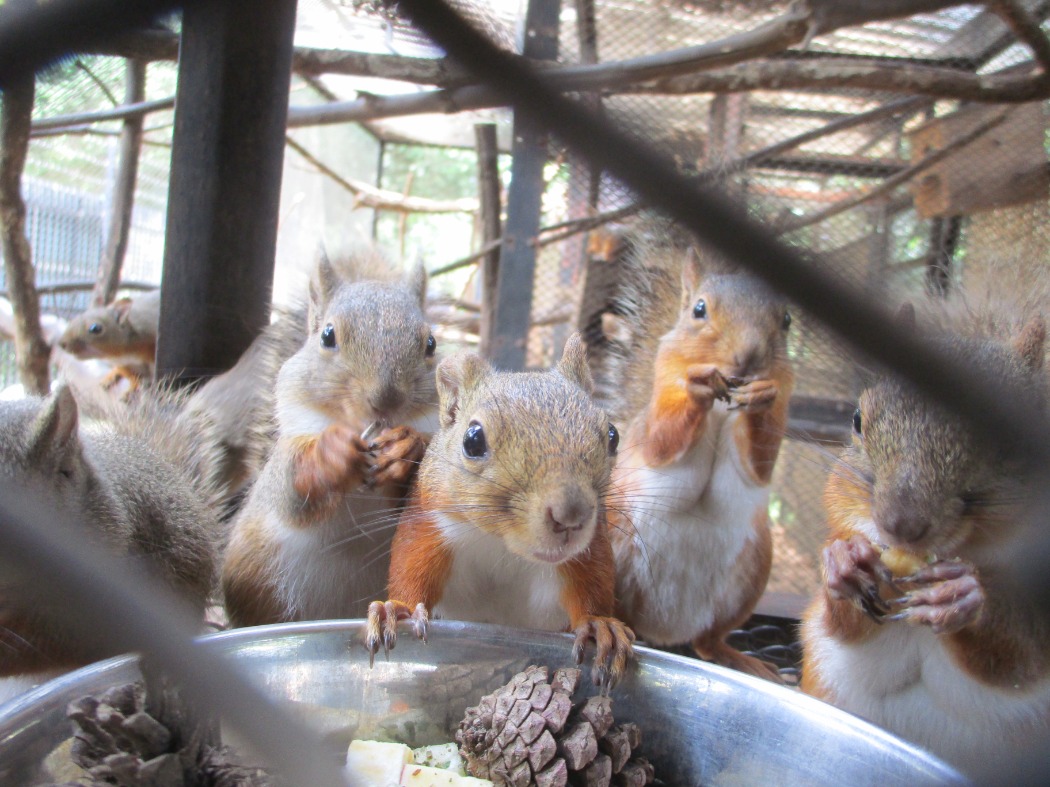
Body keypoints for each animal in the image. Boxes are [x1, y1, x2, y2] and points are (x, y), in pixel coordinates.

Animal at [221, 249, 438, 633]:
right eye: (327, 336)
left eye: (431, 344)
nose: (386, 400)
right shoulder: (285, 460)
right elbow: (292, 494)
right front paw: (331, 453)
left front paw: (406, 447)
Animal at [365, 333, 634, 688]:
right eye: (473, 440)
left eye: (613, 436)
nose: (570, 516)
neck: (502, 546)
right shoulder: (430, 521)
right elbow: (412, 568)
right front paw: (398, 610)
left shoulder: (587, 550)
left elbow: (591, 584)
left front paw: (599, 625)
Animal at [592, 224, 793, 679]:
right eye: (699, 309)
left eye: (788, 320)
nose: (747, 356)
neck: (721, 409)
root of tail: (664, 631)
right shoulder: (654, 420)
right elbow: (661, 442)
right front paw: (698, 384)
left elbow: (762, 466)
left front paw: (761, 396)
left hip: (751, 574)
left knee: (708, 641)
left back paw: (742, 659)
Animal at [797, 300, 1050, 776]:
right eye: (857, 420)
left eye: (1014, 442)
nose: (901, 524)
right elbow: (838, 623)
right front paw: (843, 563)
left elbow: (1019, 656)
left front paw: (963, 594)